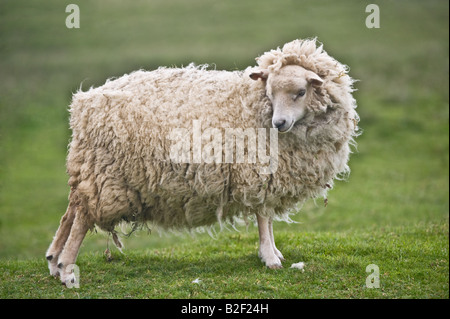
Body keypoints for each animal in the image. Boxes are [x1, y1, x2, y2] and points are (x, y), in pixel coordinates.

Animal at [46, 38, 358, 286]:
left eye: (301, 92)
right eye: (269, 93)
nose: (278, 123)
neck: (253, 105)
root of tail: (83, 105)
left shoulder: (267, 178)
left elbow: (266, 217)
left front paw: (270, 251)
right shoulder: (258, 174)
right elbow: (263, 216)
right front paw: (270, 258)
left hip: (90, 170)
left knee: (71, 211)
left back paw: (53, 261)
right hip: (105, 175)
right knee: (82, 219)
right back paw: (67, 271)